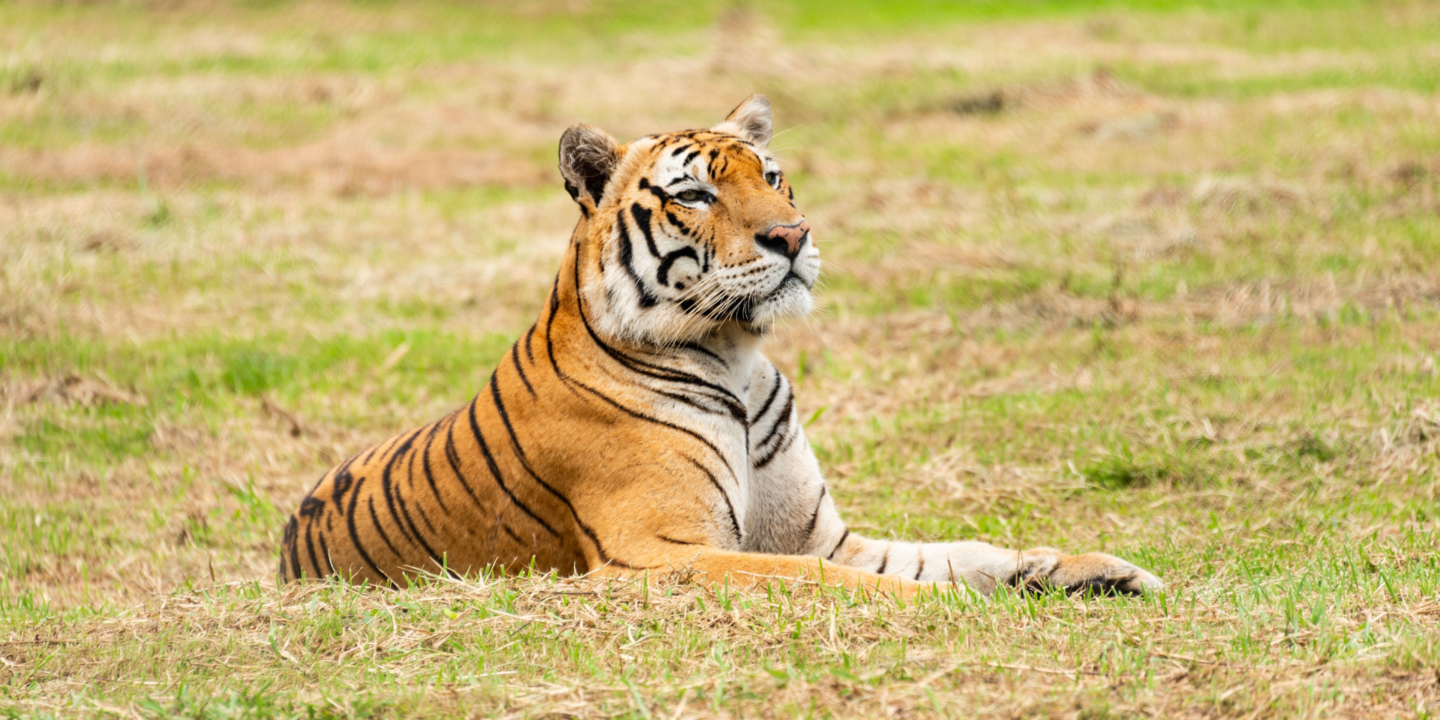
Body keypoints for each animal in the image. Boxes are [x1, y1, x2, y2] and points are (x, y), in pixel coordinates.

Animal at [277, 95, 1163, 598]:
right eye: (697, 194)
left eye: (771, 176)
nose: (793, 235)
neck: (734, 353)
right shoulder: (661, 551)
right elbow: (824, 579)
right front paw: (956, 607)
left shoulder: (819, 532)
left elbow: (960, 553)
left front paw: (1096, 572)